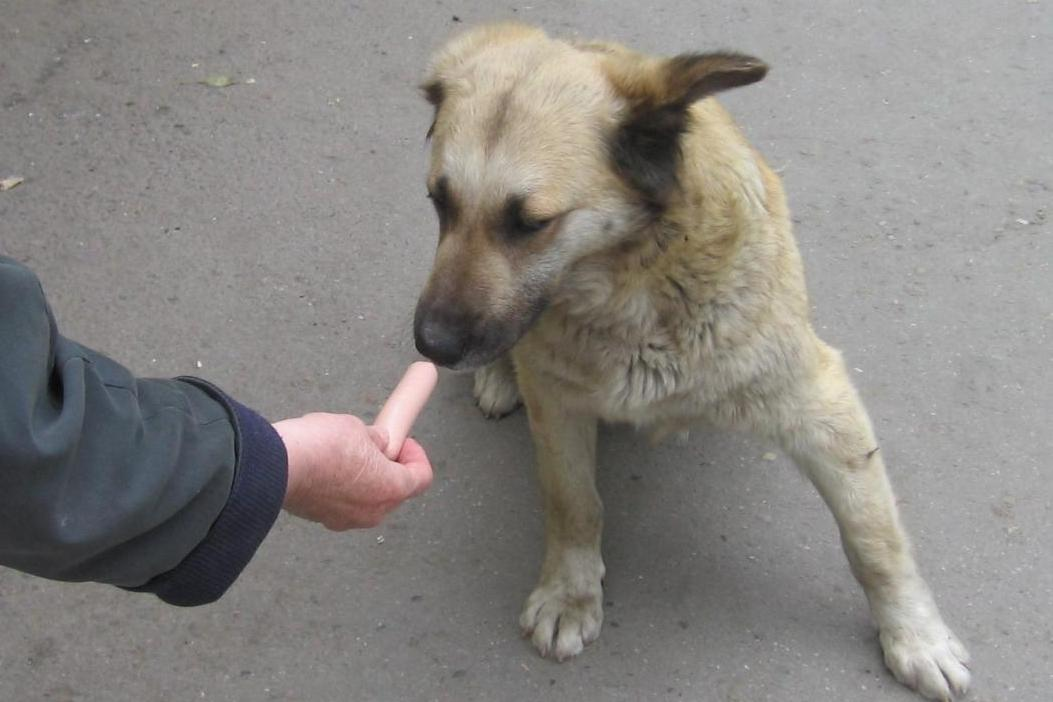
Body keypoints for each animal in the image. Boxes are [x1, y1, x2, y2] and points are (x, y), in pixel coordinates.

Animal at [408, 24, 968, 698]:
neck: (634, 283)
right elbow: (573, 502)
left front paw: (914, 633)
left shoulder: (822, 407)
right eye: (438, 202)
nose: (431, 345)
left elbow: (874, 539)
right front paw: (571, 592)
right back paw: (497, 376)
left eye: (531, 223)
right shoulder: (559, 407)